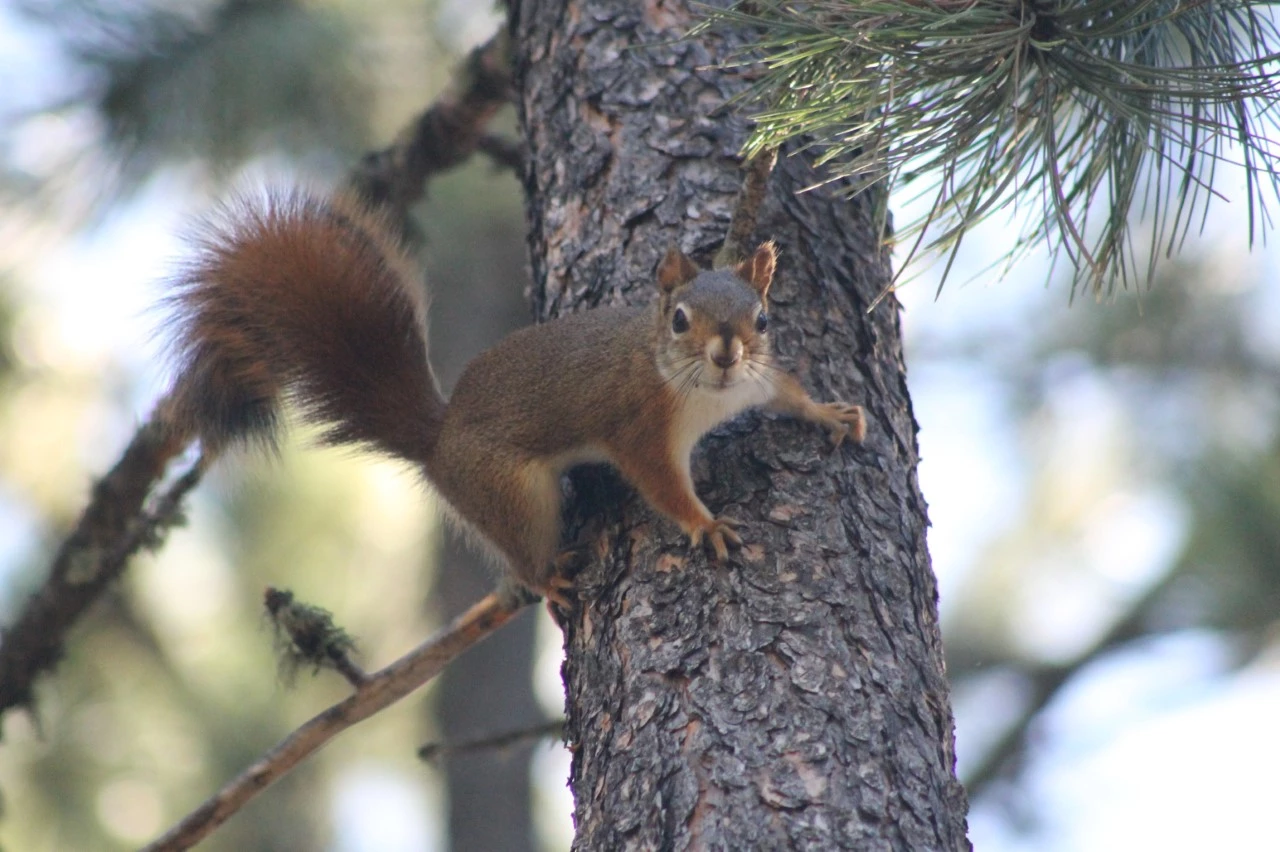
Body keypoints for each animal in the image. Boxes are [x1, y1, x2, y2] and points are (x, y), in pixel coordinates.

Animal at [162, 189, 866, 607]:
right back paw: (548, 576)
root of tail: (438, 442)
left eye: (764, 319)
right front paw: (706, 524)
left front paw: (829, 412)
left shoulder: (756, 380)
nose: (726, 355)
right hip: (512, 494)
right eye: (678, 320)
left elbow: (786, 391)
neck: (703, 392)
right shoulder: (640, 427)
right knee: (522, 554)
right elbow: (662, 484)